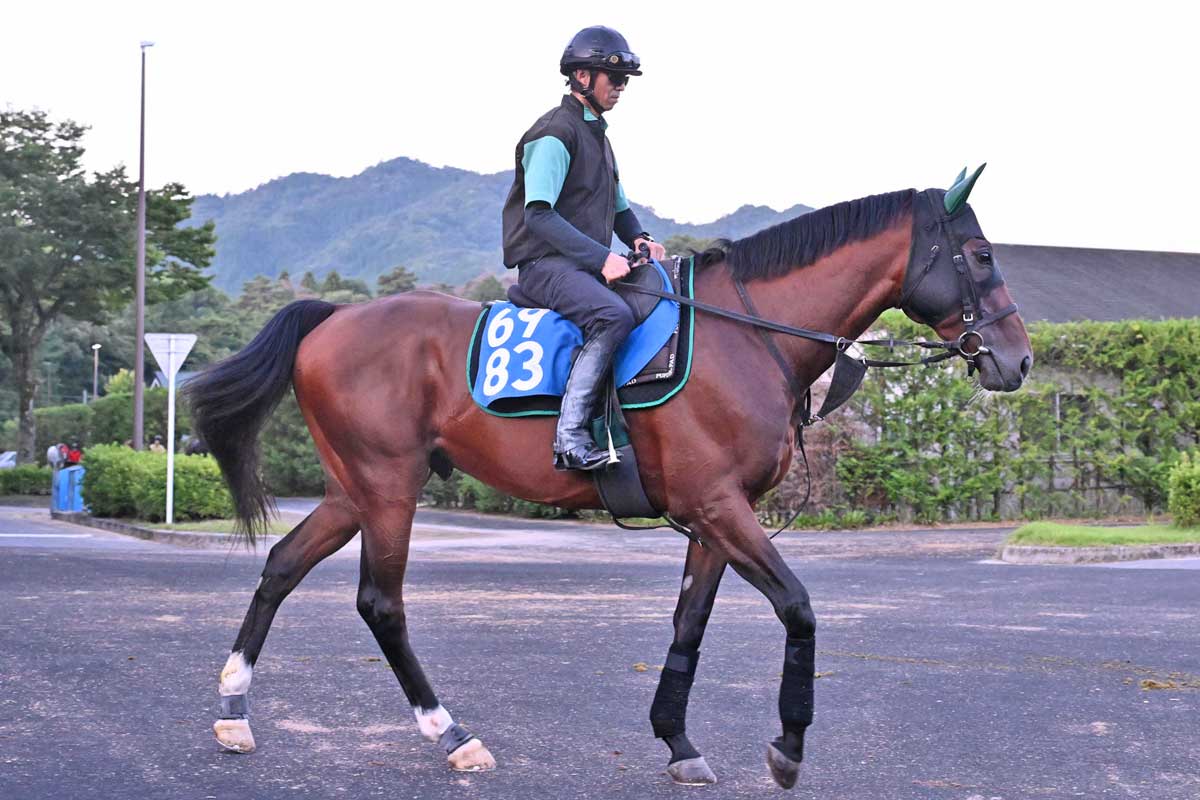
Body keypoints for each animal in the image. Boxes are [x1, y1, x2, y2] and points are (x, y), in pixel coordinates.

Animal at [187, 171, 1033, 789]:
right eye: (981, 254)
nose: (1018, 358)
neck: (744, 336)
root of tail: (332, 319)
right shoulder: (721, 508)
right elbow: (798, 608)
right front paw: (789, 746)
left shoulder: (715, 519)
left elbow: (689, 625)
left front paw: (678, 740)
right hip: (388, 488)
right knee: (380, 604)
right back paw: (451, 733)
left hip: (353, 490)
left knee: (282, 565)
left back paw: (234, 709)